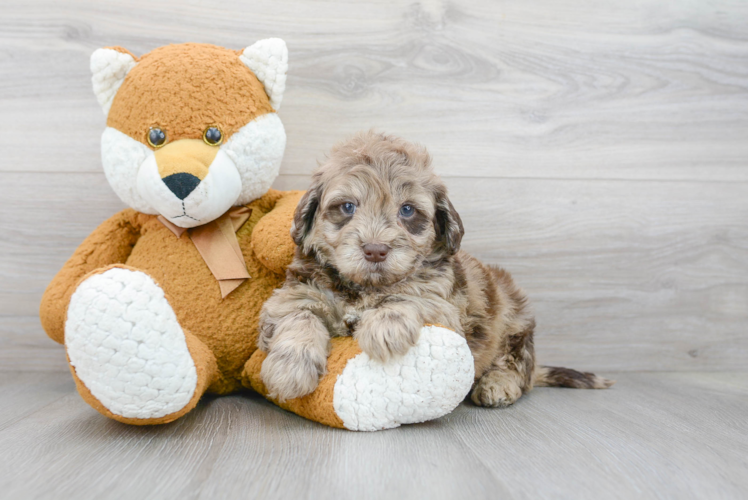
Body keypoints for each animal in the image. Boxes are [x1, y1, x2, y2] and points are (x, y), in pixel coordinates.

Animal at [258, 131, 612, 404]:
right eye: (347, 207)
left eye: (407, 210)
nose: (375, 250)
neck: (366, 288)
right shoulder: (295, 294)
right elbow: (299, 316)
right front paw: (289, 370)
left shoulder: (444, 307)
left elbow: (410, 298)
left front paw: (385, 326)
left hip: (516, 321)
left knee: (518, 366)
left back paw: (497, 385)